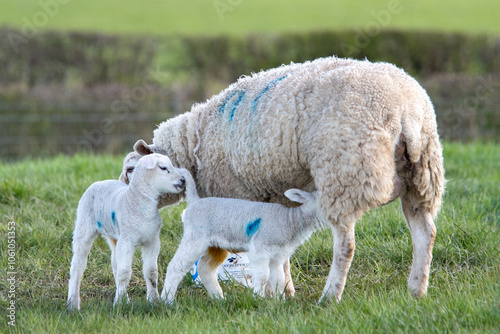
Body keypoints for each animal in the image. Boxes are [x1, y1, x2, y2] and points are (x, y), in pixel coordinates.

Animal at [67, 154, 187, 310]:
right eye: (163, 167)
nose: (183, 180)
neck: (137, 201)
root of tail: (100, 182)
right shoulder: (127, 241)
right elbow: (124, 273)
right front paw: (118, 304)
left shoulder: (152, 240)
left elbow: (151, 272)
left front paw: (153, 300)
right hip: (84, 226)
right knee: (78, 265)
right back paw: (73, 303)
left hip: (115, 238)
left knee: (115, 265)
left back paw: (124, 298)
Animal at [162, 170, 322, 302]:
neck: (290, 219)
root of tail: (194, 201)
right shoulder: (259, 249)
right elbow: (263, 276)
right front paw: (259, 299)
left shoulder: (278, 255)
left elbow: (279, 279)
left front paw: (279, 302)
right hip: (194, 237)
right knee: (176, 266)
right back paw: (166, 300)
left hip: (214, 244)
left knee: (205, 268)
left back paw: (219, 298)